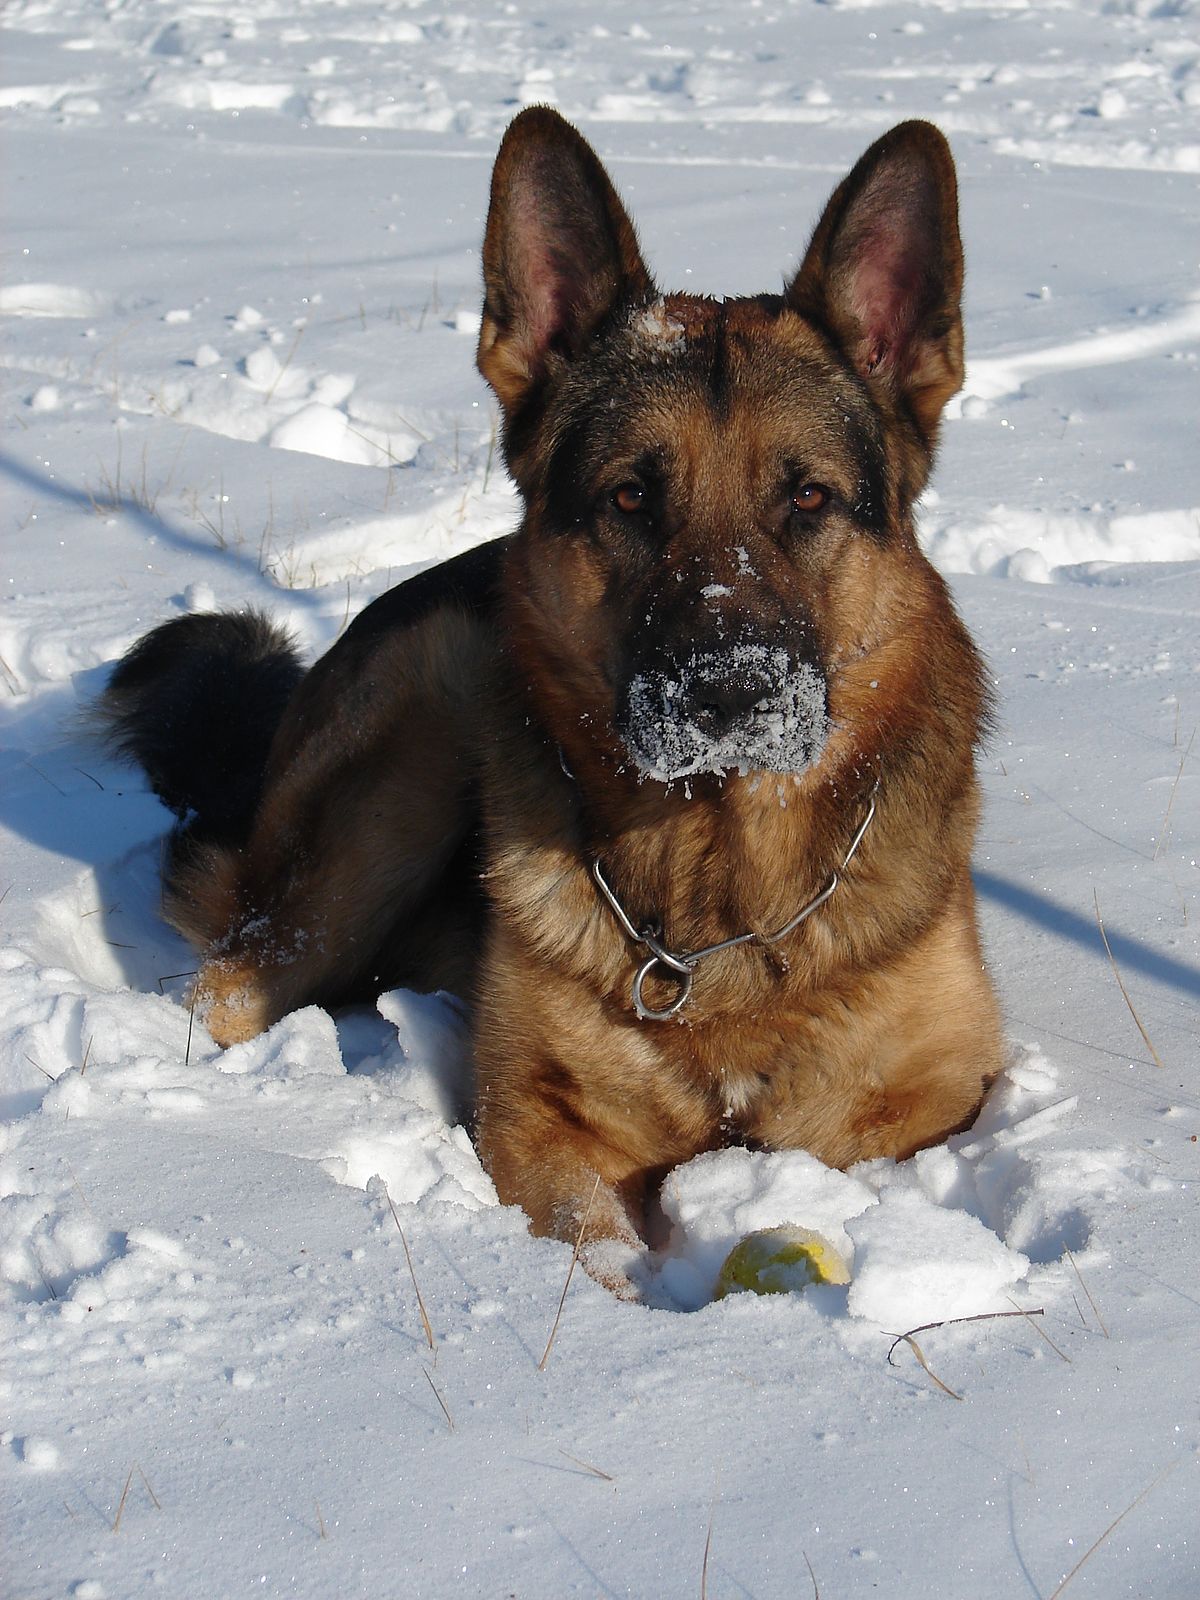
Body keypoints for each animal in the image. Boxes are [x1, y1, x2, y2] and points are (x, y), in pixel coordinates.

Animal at [101, 106, 1004, 1292]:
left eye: (809, 498)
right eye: (629, 498)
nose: (730, 696)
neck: (720, 901)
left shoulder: (935, 1097)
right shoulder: (539, 1127)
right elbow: (603, 1259)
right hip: (407, 752)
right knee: (228, 983)